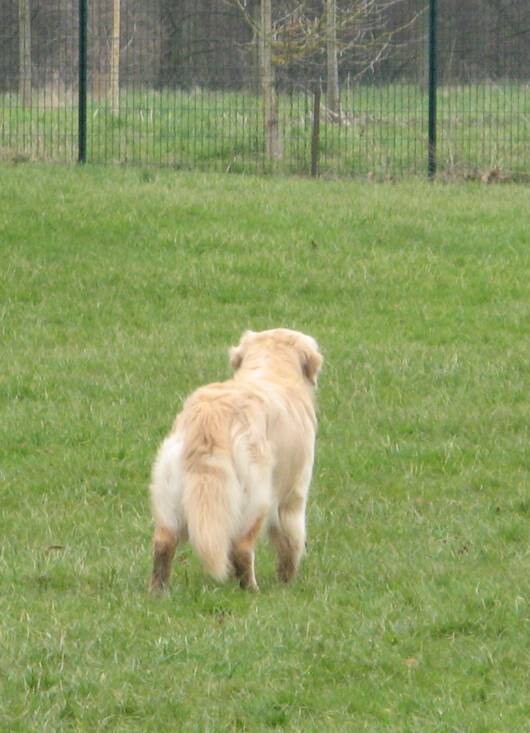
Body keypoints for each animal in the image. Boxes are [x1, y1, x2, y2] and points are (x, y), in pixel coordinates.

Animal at [148, 328, 322, 592]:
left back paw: (159, 591)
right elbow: (290, 543)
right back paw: (251, 590)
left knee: (163, 543)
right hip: (257, 498)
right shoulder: (294, 494)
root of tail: (210, 415)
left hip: (169, 495)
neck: (271, 368)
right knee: (242, 547)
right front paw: (287, 581)